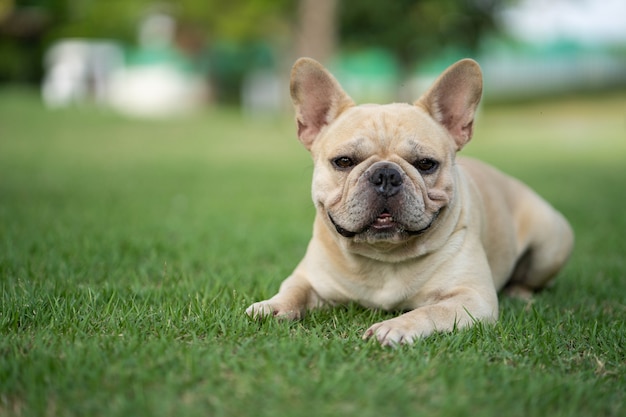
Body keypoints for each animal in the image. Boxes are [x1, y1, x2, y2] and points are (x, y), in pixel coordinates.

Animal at [243, 57, 572, 344]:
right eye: (344, 161)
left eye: (426, 164)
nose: (386, 175)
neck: (384, 258)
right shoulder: (308, 278)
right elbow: (293, 290)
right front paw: (271, 305)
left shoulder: (471, 298)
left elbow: (431, 311)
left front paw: (395, 327)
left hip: (551, 244)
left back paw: (521, 293)